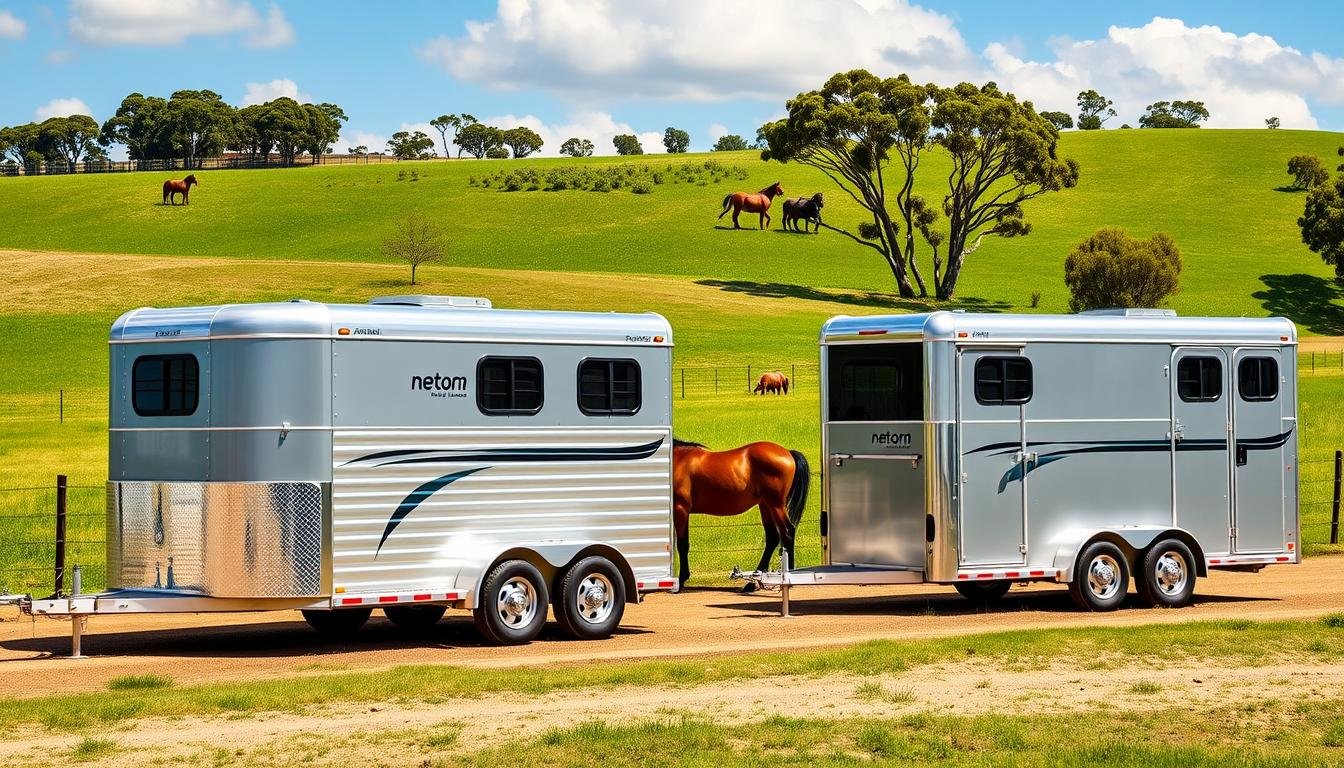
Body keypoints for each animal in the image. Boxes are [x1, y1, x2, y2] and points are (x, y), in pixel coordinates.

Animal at [672, 438, 806, 594]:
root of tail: (788, 453)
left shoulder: (680, 509)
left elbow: (682, 545)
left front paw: (681, 581)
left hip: (775, 505)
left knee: (787, 533)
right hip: (765, 505)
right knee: (773, 538)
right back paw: (753, 582)